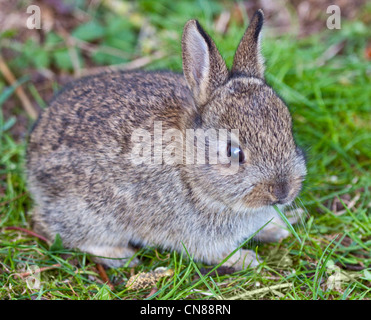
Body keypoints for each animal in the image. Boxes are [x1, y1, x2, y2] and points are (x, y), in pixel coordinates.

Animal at [26, 10, 306, 270]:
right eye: (233, 152)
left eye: (288, 129)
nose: (282, 192)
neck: (190, 171)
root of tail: (32, 156)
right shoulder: (196, 234)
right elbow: (216, 253)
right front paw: (248, 259)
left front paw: (283, 224)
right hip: (93, 215)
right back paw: (121, 256)